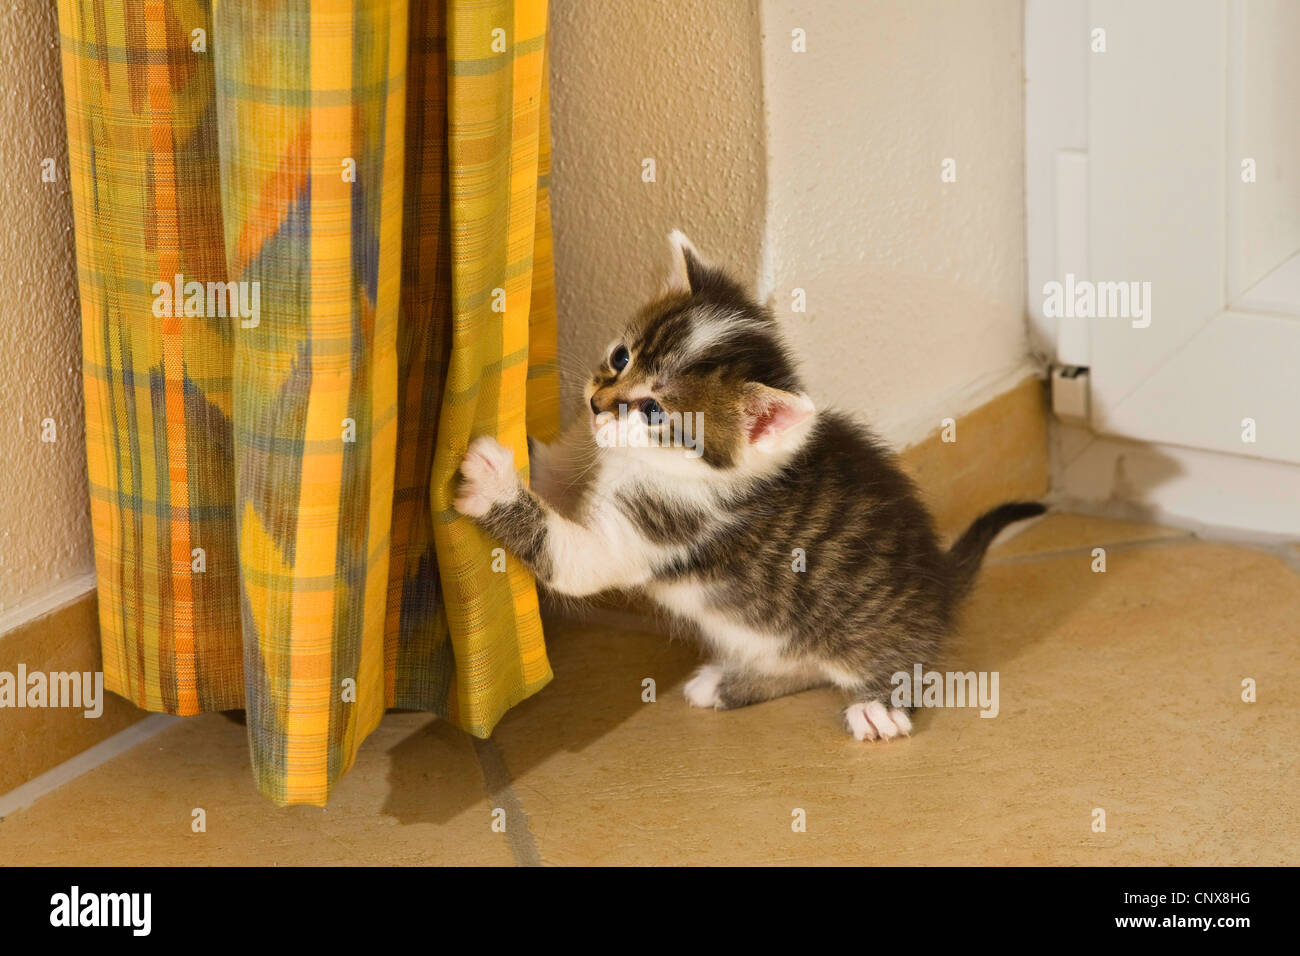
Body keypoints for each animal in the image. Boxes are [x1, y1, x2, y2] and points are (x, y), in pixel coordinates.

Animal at [457, 231, 1045, 738]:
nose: (598, 405)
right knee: (804, 664)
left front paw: (490, 479)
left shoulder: (655, 530)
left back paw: (879, 706)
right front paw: (518, 448)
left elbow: (570, 556)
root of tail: (940, 579)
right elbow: (553, 475)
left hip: (876, 632)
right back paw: (728, 685)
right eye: (621, 356)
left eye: (654, 412)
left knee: (896, 663)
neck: (637, 464)